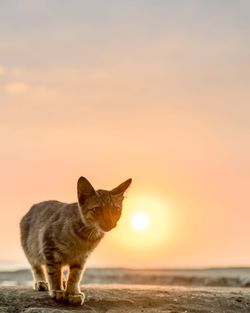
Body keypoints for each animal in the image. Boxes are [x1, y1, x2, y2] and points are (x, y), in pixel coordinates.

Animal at [20, 176, 132, 304]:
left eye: (116, 210)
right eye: (97, 209)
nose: (110, 223)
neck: (85, 235)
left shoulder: (81, 257)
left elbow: (75, 274)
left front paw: (73, 292)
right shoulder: (49, 245)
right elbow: (54, 271)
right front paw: (57, 290)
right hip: (31, 250)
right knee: (37, 267)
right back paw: (41, 282)